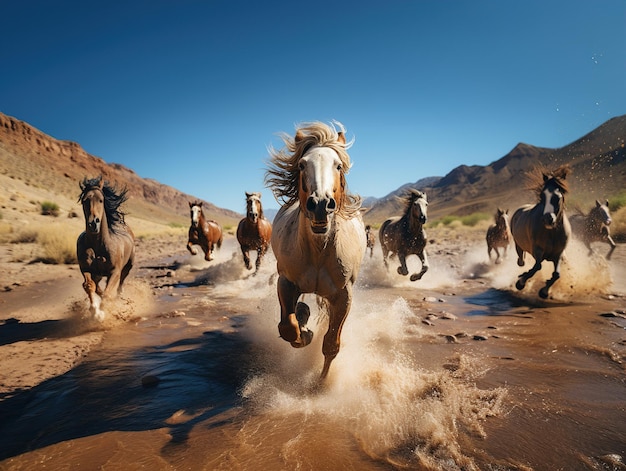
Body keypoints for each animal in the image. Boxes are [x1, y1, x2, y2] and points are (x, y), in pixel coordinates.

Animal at [76, 175, 134, 322]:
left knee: (120, 285)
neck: (99, 245)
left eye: (101, 200)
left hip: (128, 267)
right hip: (98, 274)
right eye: (85, 200)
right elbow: (89, 286)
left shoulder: (115, 271)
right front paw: (95, 311)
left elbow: (107, 293)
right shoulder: (86, 269)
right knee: (97, 286)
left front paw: (101, 312)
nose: (93, 224)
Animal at [264, 120, 366, 382]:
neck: (319, 253)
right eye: (302, 164)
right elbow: (288, 328)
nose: (320, 204)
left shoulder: (343, 296)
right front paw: (304, 332)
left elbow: (331, 344)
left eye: (338, 165)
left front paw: (320, 383)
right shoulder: (286, 282)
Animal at [510, 166, 568, 298]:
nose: (547, 219)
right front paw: (520, 283)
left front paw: (544, 291)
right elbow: (537, 267)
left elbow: (556, 274)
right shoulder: (537, 250)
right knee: (521, 259)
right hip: (518, 244)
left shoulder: (558, 254)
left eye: (558, 197)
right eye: (542, 195)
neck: (551, 233)